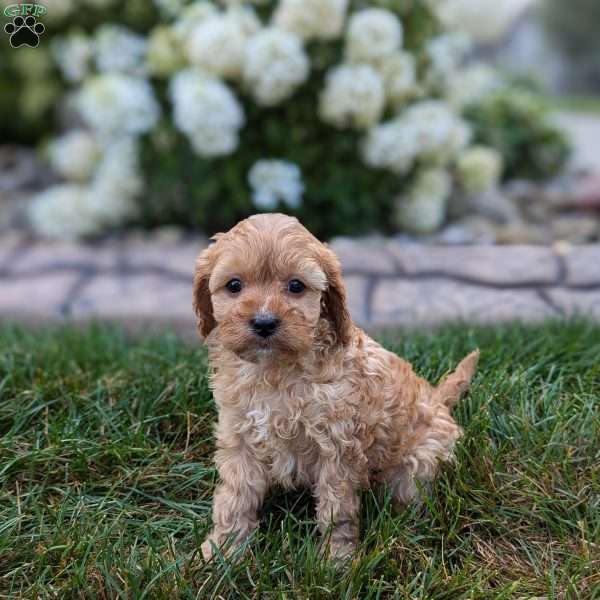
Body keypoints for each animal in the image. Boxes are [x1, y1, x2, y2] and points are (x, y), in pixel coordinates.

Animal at [195, 213, 480, 560]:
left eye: (296, 286)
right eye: (234, 285)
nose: (264, 323)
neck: (275, 371)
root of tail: (439, 401)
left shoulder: (338, 446)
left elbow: (337, 508)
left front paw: (336, 561)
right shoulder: (240, 436)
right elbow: (235, 496)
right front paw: (221, 551)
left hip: (419, 461)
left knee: (410, 493)